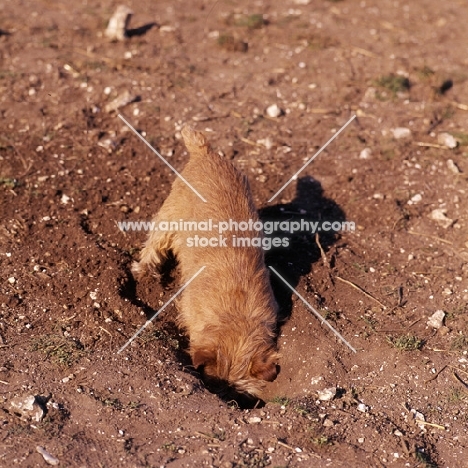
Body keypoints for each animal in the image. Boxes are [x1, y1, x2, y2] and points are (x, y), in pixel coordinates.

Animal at [132, 125, 278, 398]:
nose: (226, 397)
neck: (234, 312)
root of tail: (205, 152)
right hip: (168, 217)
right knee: (154, 244)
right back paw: (145, 270)